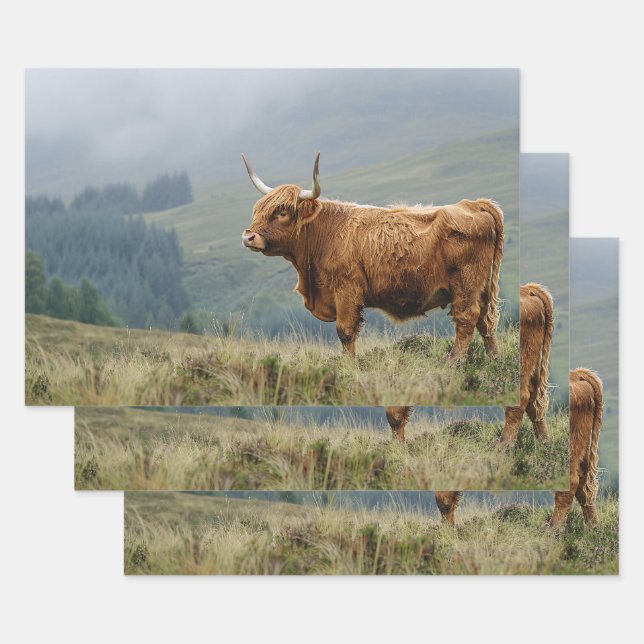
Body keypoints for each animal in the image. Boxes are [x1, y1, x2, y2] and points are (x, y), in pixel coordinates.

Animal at [241, 153, 504, 360]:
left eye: (282, 212)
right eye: (257, 209)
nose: (248, 236)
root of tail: (473, 203)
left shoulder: (347, 290)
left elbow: (345, 332)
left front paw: (349, 366)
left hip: (466, 284)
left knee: (467, 319)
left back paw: (453, 362)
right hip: (482, 288)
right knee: (485, 322)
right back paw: (494, 360)